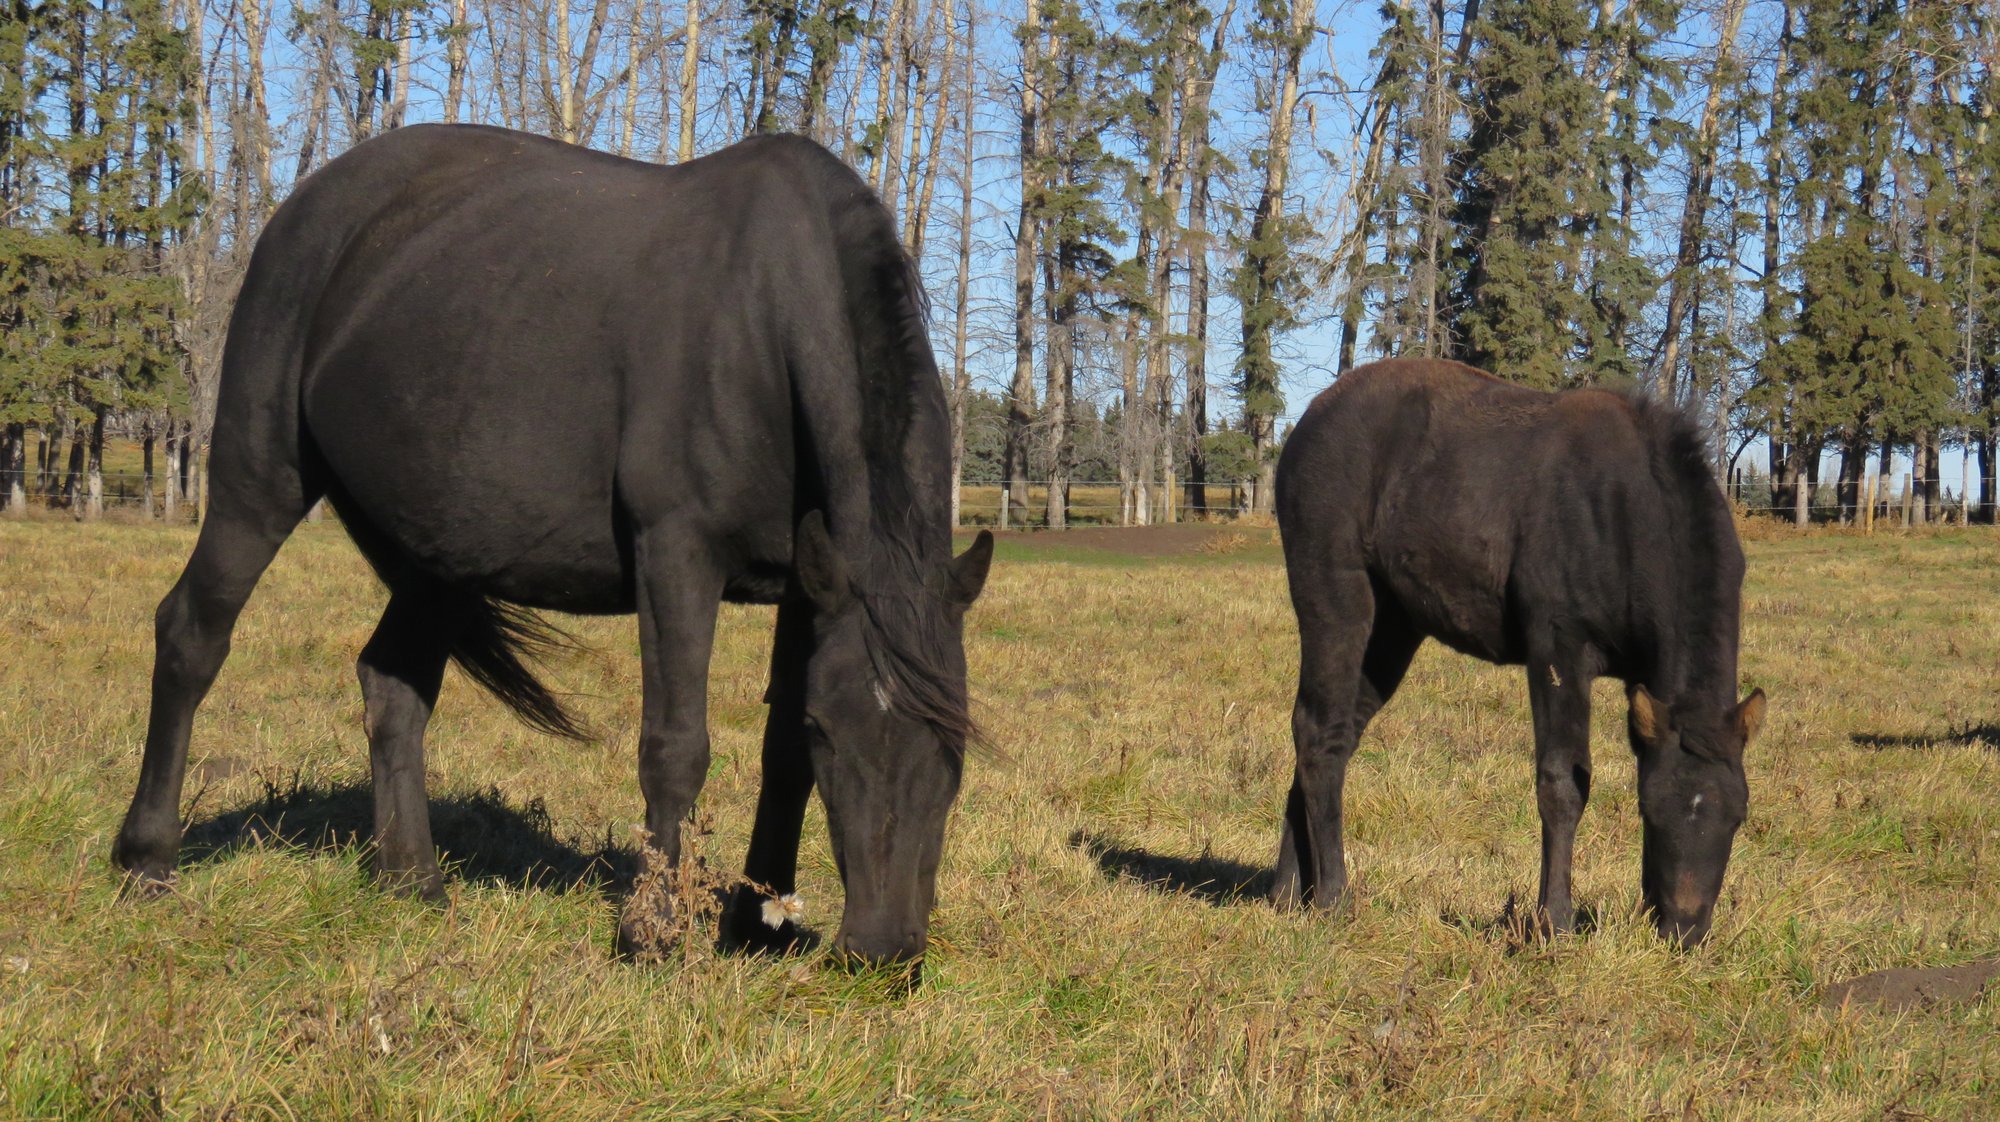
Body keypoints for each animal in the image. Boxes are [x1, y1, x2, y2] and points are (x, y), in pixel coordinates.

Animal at [110, 124, 994, 969]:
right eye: (835, 734)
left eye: (953, 748)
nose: (884, 949)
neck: (761, 326)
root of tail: (307, 207)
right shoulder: (677, 555)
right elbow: (678, 746)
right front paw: (650, 934)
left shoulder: (812, 582)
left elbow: (778, 754)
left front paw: (755, 924)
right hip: (260, 479)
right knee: (192, 633)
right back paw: (147, 860)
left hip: (436, 552)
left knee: (393, 687)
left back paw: (412, 880)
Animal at [1272, 357, 1765, 946]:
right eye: (1652, 809)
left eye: (1738, 814)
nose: (1684, 931)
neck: (1630, 526)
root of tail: (1303, 426)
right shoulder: (1558, 647)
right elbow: (1563, 784)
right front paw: (1554, 920)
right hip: (1337, 597)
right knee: (1317, 729)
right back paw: (1331, 897)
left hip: (1393, 627)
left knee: (1332, 732)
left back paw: (1286, 890)